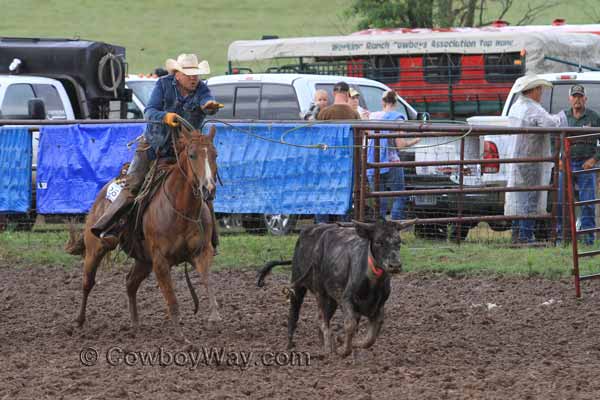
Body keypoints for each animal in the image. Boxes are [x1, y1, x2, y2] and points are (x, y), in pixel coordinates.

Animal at [71, 124, 220, 340]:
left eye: (215, 155)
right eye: (192, 155)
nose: (208, 188)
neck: (182, 209)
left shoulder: (201, 252)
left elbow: (208, 280)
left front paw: (214, 316)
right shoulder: (160, 261)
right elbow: (172, 300)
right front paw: (181, 336)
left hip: (143, 260)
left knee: (130, 283)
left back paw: (135, 324)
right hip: (95, 249)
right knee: (87, 282)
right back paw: (79, 321)